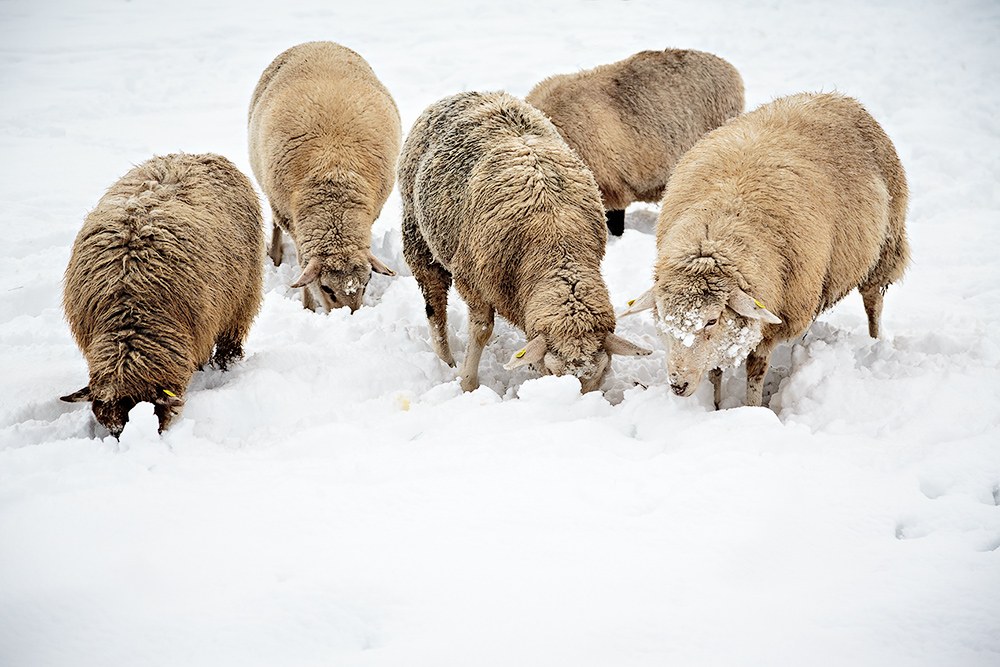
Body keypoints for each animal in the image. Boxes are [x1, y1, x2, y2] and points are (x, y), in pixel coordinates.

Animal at [61, 155, 266, 440]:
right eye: (111, 429)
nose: (126, 442)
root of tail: (199, 155)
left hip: (243, 298)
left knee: (230, 341)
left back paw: (227, 364)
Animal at [248, 41, 400, 314]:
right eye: (327, 288)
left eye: (367, 283)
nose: (349, 317)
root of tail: (318, 43)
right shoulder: (293, 220)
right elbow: (302, 269)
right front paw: (308, 308)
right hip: (272, 194)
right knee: (274, 224)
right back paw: (275, 257)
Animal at [398, 88, 656, 392]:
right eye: (552, 371)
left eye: (603, 371)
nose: (574, 399)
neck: (556, 242)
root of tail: (469, 92)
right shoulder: (471, 279)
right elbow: (481, 330)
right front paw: (468, 382)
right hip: (417, 233)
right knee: (435, 303)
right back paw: (445, 360)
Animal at [624, 92, 916, 408]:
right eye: (663, 317)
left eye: (711, 320)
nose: (678, 385)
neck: (715, 235)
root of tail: (836, 96)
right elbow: (715, 369)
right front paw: (715, 406)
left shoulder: (778, 313)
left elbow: (755, 370)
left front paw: (752, 410)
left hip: (885, 246)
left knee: (873, 302)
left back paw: (873, 342)